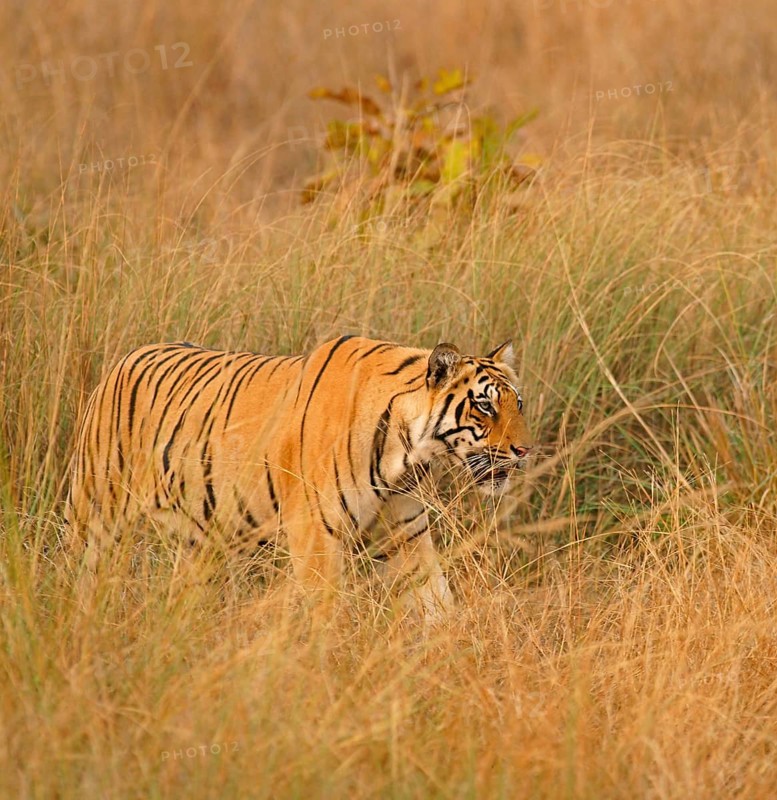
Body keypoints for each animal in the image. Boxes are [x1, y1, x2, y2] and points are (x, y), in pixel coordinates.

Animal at [66, 335, 533, 621]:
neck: (407, 451)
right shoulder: (315, 534)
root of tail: (123, 359)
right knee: (81, 575)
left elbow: (435, 600)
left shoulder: (406, 533)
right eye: (485, 407)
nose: (525, 451)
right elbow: (325, 614)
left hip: (199, 542)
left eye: (519, 404)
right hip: (96, 518)